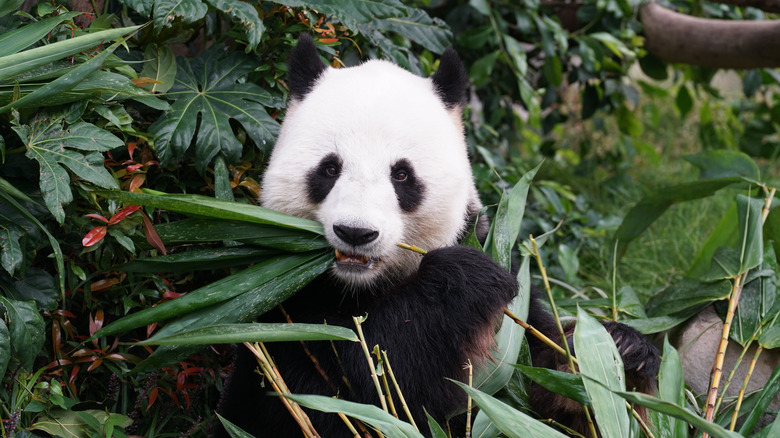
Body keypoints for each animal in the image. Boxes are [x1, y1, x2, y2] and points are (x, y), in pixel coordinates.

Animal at [212, 35, 660, 438]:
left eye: (402, 175)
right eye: (329, 169)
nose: (355, 232)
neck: (364, 284)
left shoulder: (496, 268)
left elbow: (540, 386)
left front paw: (616, 355)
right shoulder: (284, 304)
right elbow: (367, 386)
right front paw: (467, 277)